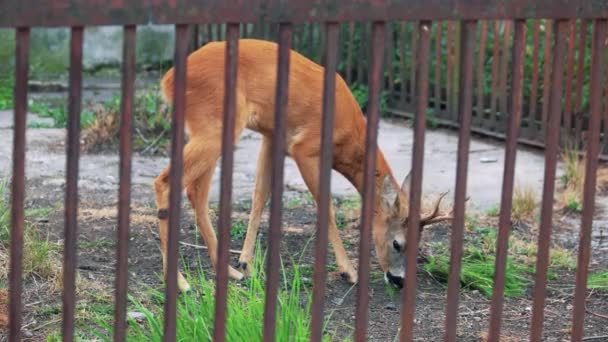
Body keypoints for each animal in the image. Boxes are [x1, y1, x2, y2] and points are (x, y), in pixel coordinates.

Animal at [154, 39, 454, 292]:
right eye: (397, 243)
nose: (398, 280)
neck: (349, 138)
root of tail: (168, 80)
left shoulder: (272, 137)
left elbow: (259, 196)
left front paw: (245, 263)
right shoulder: (305, 148)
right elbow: (326, 207)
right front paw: (349, 271)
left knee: (196, 192)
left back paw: (228, 271)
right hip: (215, 126)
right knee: (166, 182)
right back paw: (180, 282)